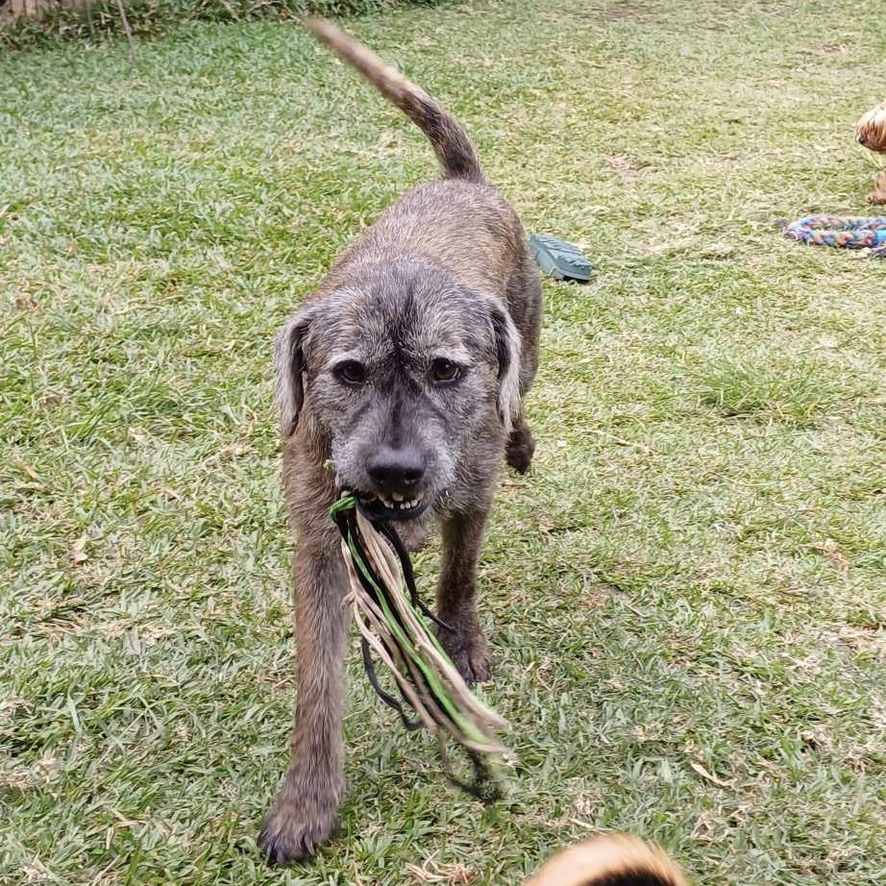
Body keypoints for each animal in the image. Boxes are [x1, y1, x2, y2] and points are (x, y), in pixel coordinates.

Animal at [260, 17, 544, 868]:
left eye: (446, 370)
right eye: (347, 372)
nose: (395, 469)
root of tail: (463, 179)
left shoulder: (471, 492)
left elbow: (459, 573)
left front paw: (461, 643)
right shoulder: (320, 542)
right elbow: (318, 682)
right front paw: (307, 800)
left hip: (531, 339)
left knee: (523, 395)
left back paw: (521, 440)